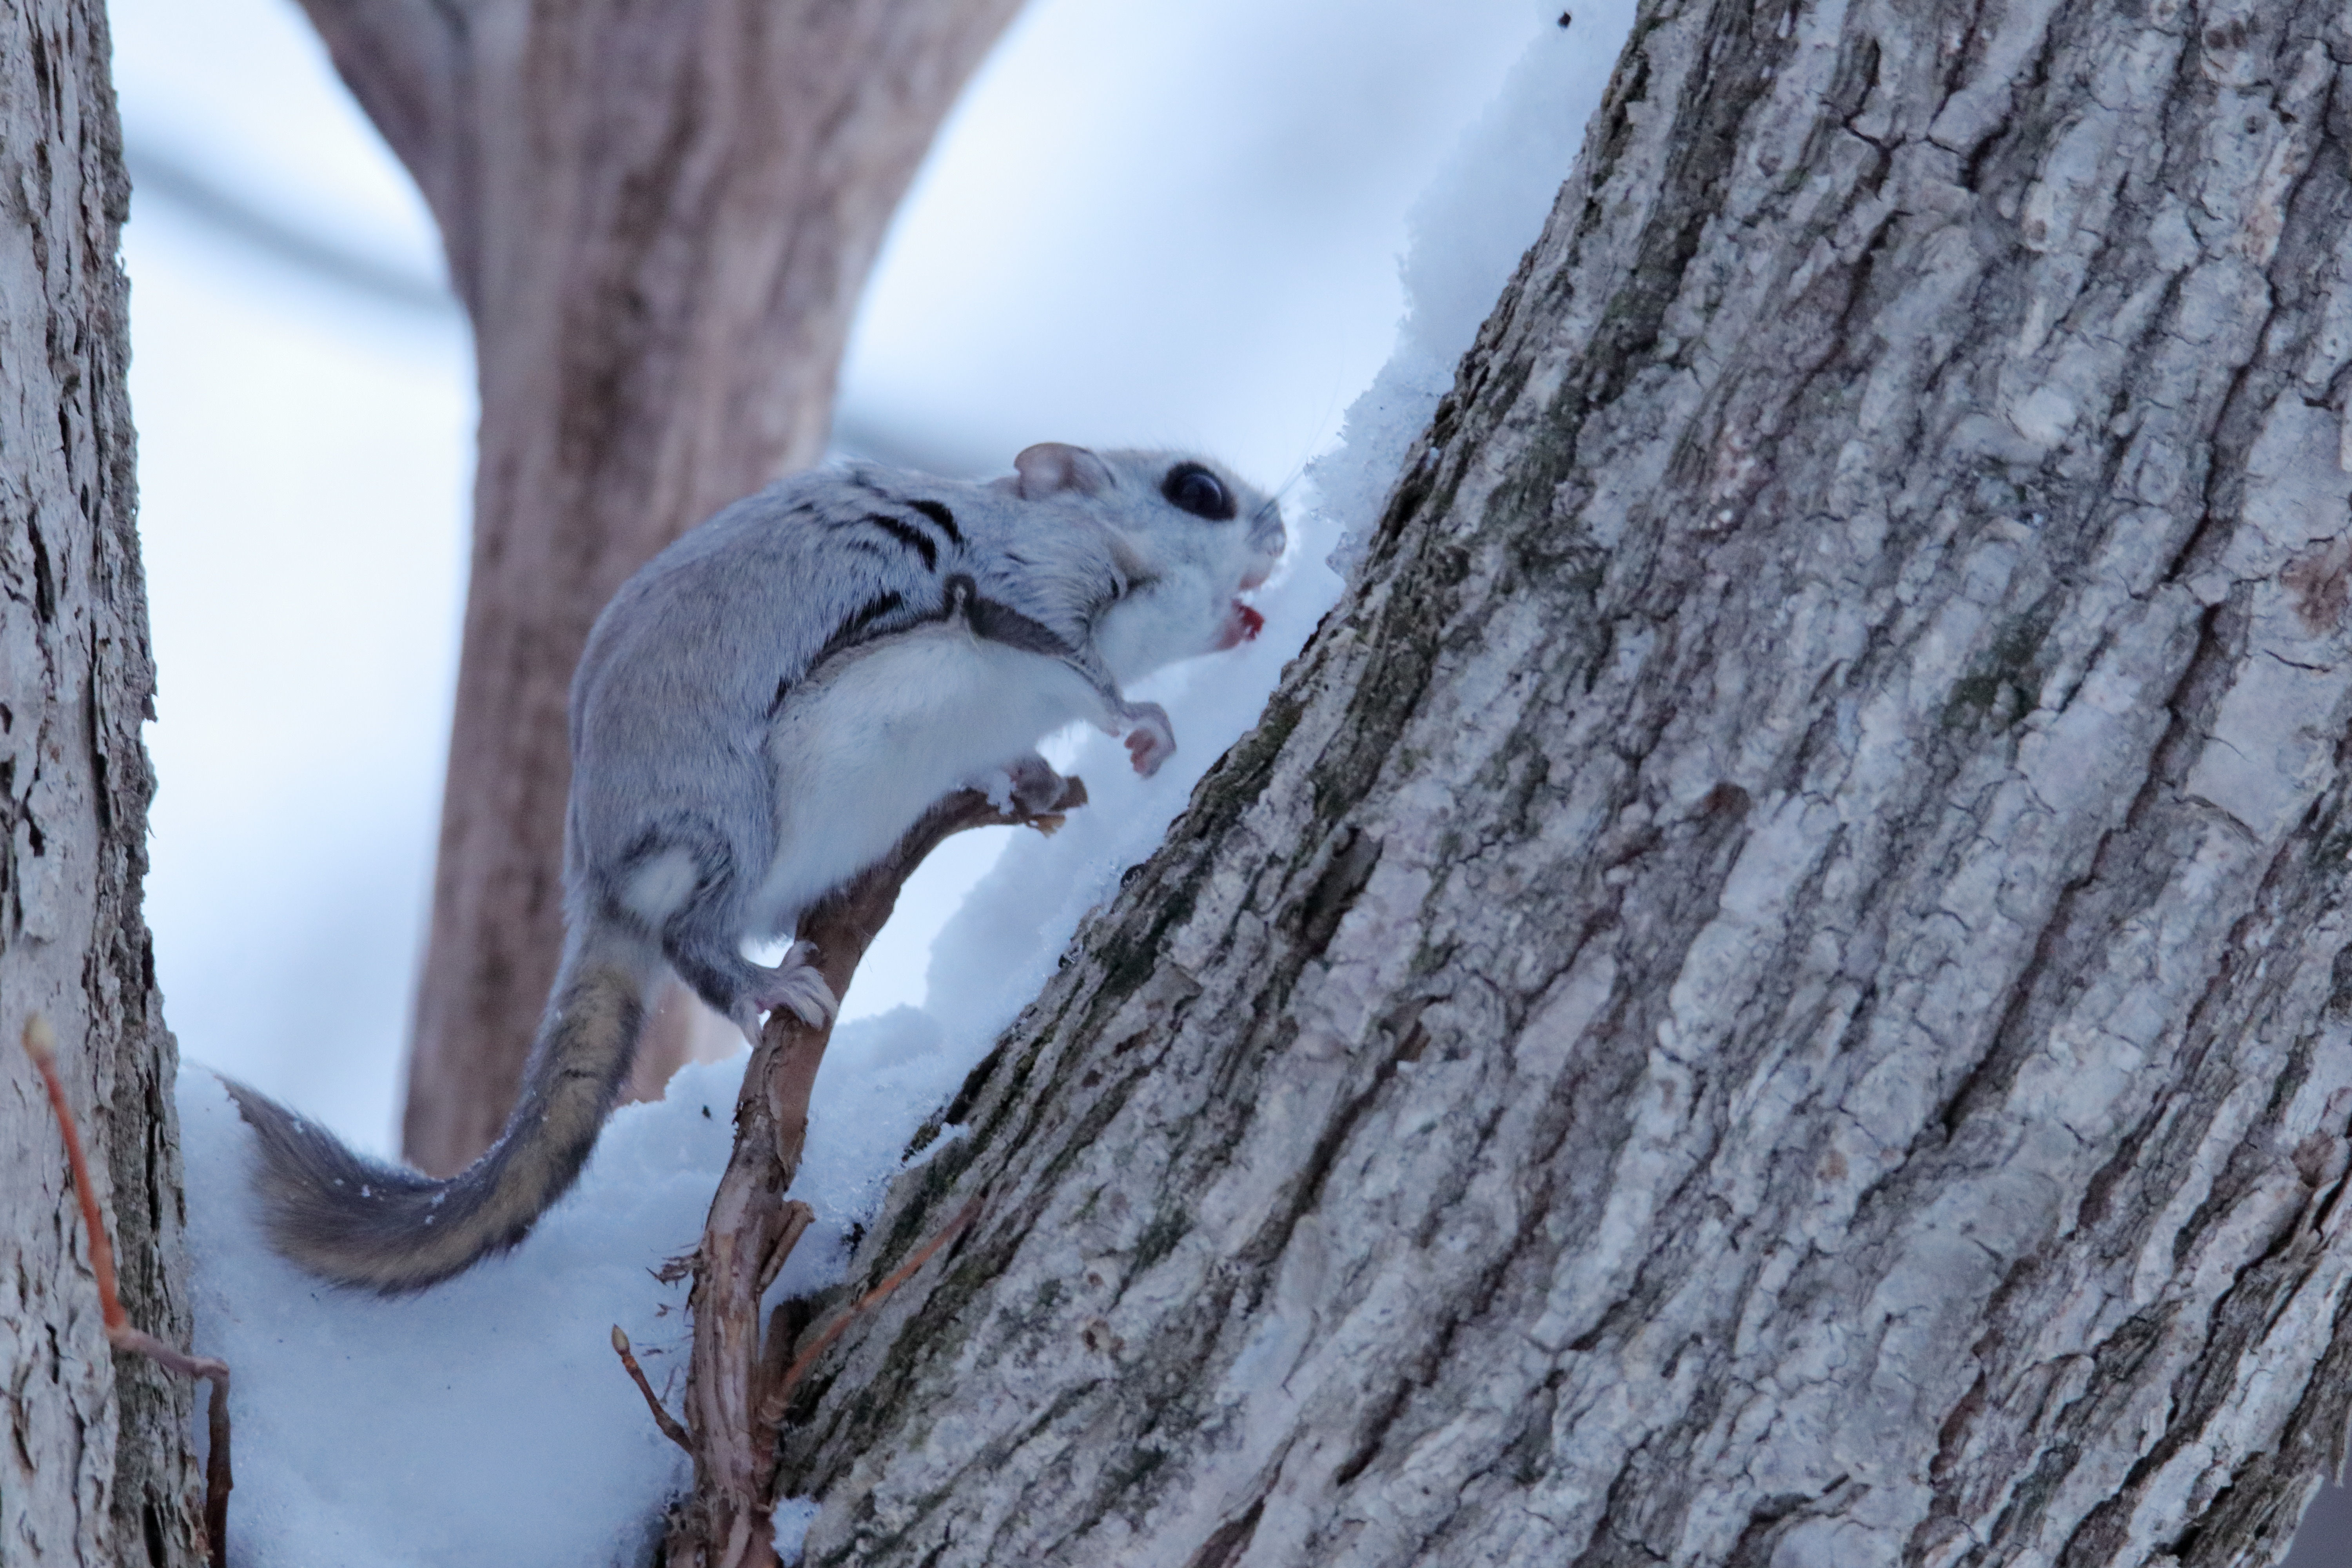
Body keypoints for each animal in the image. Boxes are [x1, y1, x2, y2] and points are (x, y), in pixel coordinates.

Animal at [227, 443, 1285, 1292]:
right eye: (1197, 490)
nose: (1278, 531)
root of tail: (599, 891)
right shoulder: (1020, 589)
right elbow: (1080, 672)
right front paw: (1144, 725)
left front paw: (1028, 779)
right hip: (727, 829)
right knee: (691, 941)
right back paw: (764, 989)